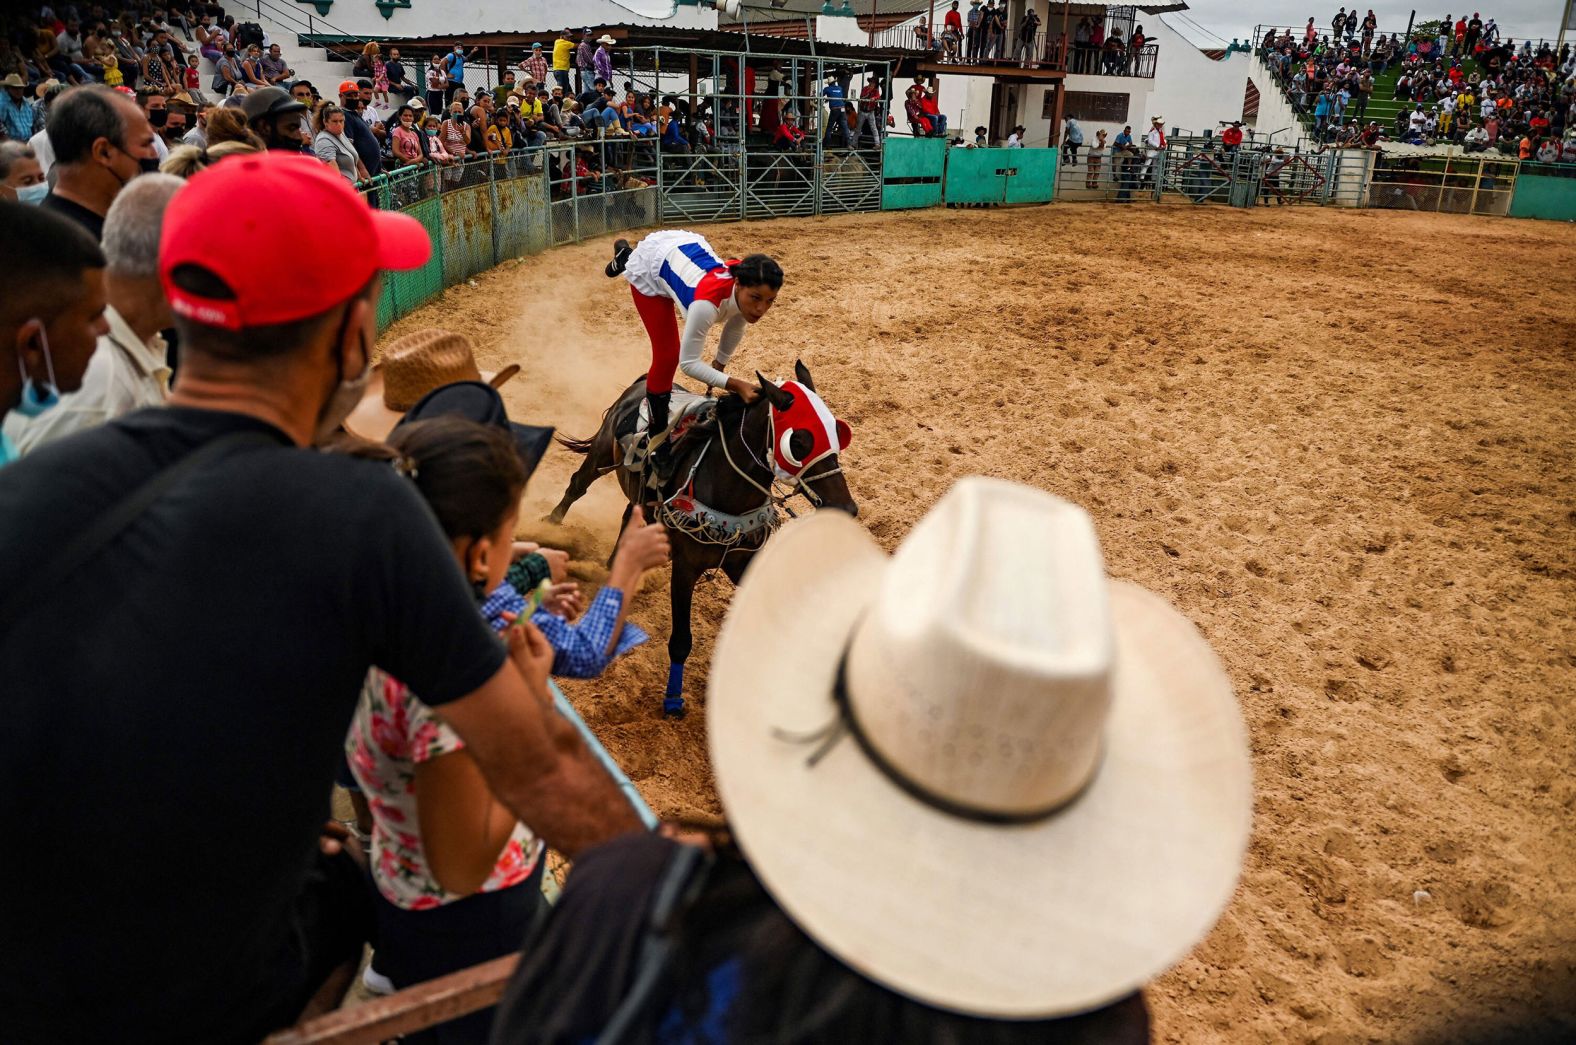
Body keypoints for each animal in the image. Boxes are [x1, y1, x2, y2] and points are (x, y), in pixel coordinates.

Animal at [548, 362, 857, 718]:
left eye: (837, 432)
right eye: (799, 442)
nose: (846, 507)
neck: (728, 492)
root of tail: (640, 383)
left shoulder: (743, 563)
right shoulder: (685, 568)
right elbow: (681, 640)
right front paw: (673, 699)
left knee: (628, 516)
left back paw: (615, 568)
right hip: (599, 454)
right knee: (577, 486)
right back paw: (549, 527)